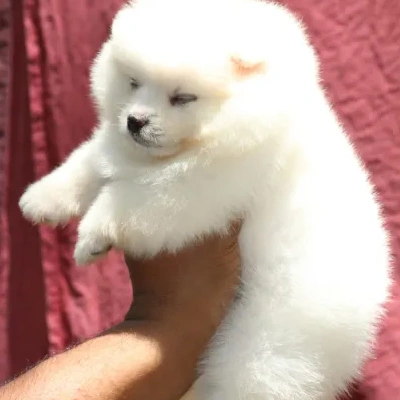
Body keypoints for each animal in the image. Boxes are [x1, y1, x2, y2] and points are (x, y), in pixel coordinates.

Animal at [19, 0, 390, 398]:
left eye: (182, 98)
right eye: (133, 83)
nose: (134, 121)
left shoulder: (200, 190)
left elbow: (133, 198)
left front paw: (91, 237)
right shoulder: (122, 151)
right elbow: (90, 160)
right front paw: (42, 197)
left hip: (259, 355)